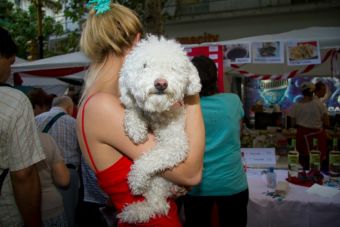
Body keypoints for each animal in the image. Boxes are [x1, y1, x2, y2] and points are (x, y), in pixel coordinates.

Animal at [117, 34, 202, 223]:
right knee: (158, 204)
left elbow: (148, 160)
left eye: (173, 67)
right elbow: (133, 108)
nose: (161, 83)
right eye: (145, 65)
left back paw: (134, 211)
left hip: (161, 180)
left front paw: (137, 180)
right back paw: (134, 212)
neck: (158, 113)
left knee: (159, 204)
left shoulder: (175, 146)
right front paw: (135, 127)